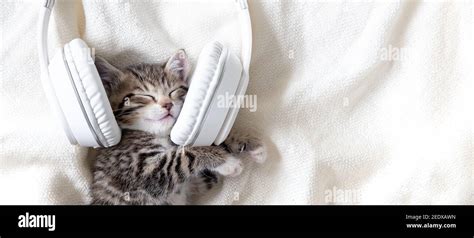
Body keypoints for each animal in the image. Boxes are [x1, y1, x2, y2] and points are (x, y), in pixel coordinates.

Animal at [90, 49, 266, 205]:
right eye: (145, 96)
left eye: (172, 91)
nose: (168, 104)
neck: (158, 133)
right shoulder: (139, 169)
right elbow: (182, 156)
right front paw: (228, 162)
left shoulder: (193, 183)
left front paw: (249, 143)